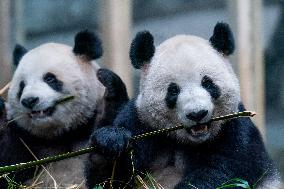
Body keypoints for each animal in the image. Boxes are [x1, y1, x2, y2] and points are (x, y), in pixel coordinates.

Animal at [0, 30, 127, 188]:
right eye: (22, 85)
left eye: (49, 78)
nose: (29, 100)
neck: (62, 134)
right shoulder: (25, 138)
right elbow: (10, 170)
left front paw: (108, 142)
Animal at [85, 22, 280, 189]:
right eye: (173, 91)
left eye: (208, 84)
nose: (197, 114)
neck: (187, 141)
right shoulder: (141, 122)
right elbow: (111, 179)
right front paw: (108, 144)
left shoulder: (234, 131)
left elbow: (222, 172)